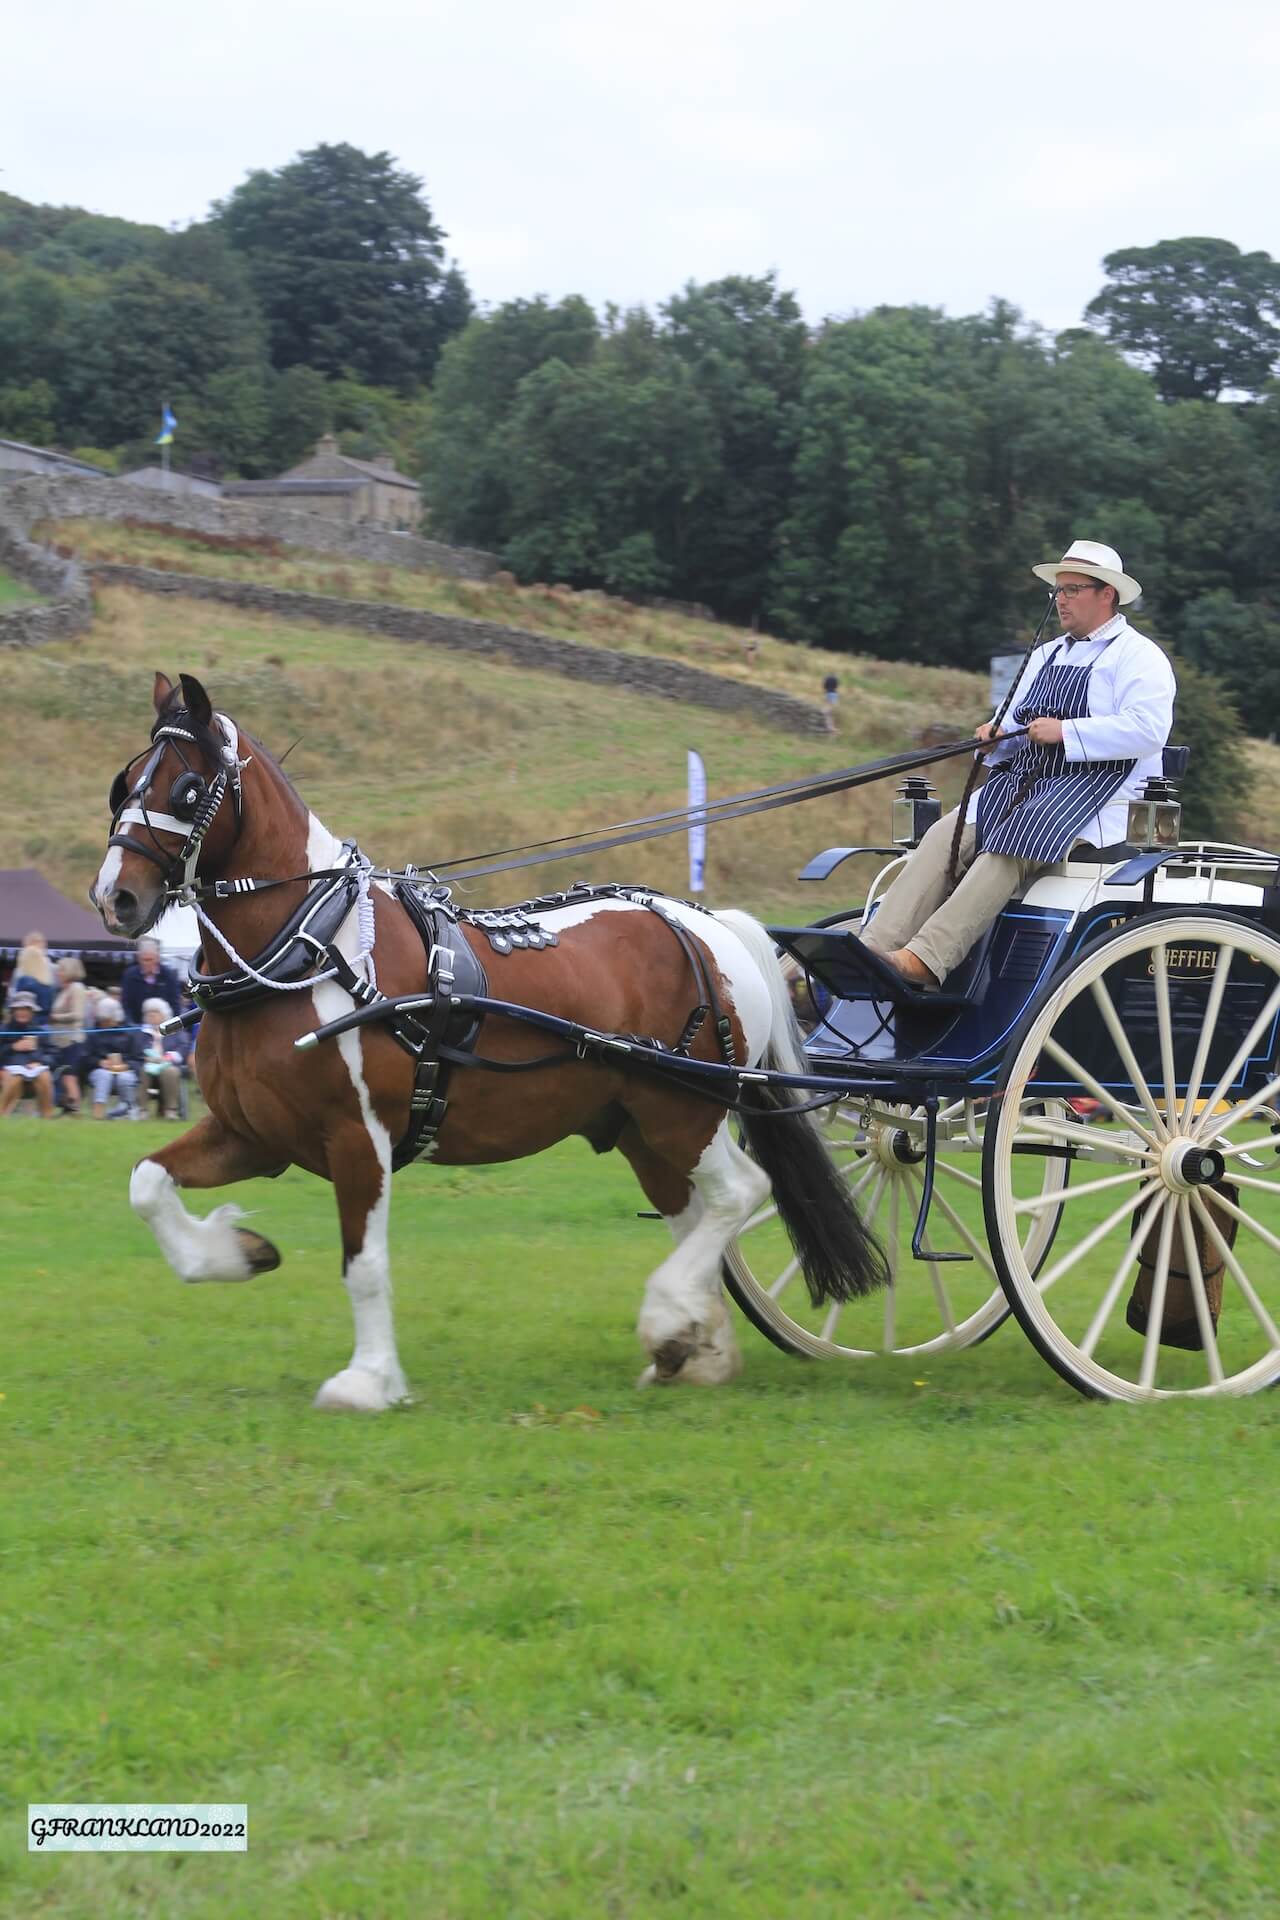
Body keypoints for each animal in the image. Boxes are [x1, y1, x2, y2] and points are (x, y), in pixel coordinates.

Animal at [91, 671, 887, 1410]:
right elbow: (146, 1185)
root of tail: (706, 923)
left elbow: (364, 1263)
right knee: (692, 1213)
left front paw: (367, 1381)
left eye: (189, 788)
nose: (114, 898)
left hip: (683, 1110)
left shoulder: (357, 1136)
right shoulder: (253, 1134)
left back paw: (670, 1319)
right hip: (642, 1125)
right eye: (123, 784)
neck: (311, 949)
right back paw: (698, 1350)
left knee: (738, 1194)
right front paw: (235, 1252)